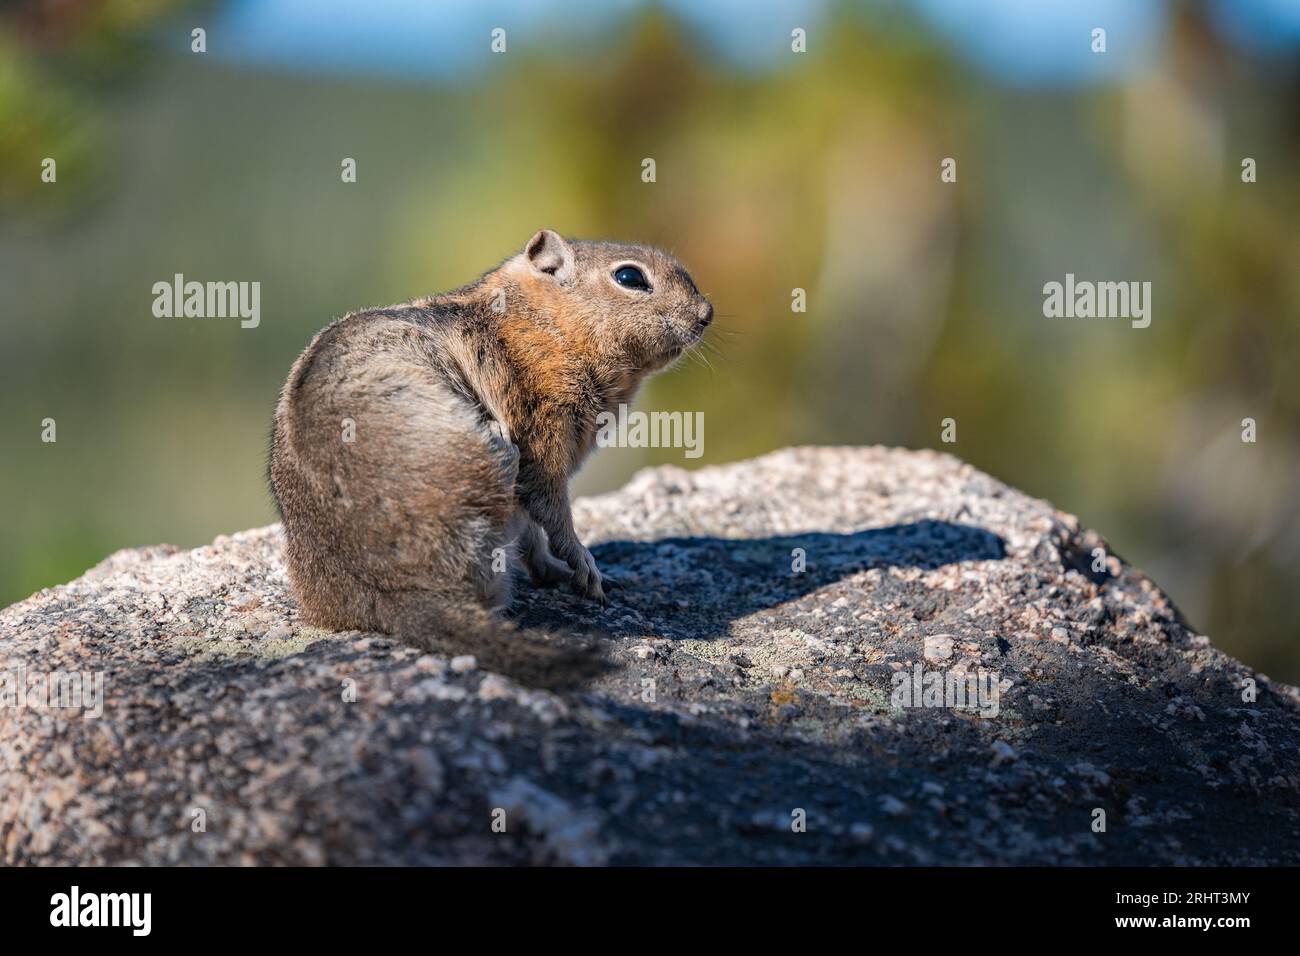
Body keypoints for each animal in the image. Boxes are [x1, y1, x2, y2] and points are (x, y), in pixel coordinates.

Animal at [268, 229, 713, 686]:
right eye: (629, 277)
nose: (706, 314)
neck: (542, 323)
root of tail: (392, 595)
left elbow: (535, 535)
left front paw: (563, 571)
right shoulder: (541, 434)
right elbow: (552, 511)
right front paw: (586, 567)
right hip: (498, 468)